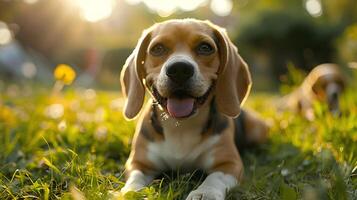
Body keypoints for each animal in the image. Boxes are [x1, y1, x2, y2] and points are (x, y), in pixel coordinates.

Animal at [119, 18, 268, 198]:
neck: (181, 127)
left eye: (205, 48)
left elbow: (215, 178)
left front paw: (205, 193)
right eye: (157, 48)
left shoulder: (229, 164)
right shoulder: (138, 163)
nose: (179, 69)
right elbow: (136, 177)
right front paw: (131, 192)